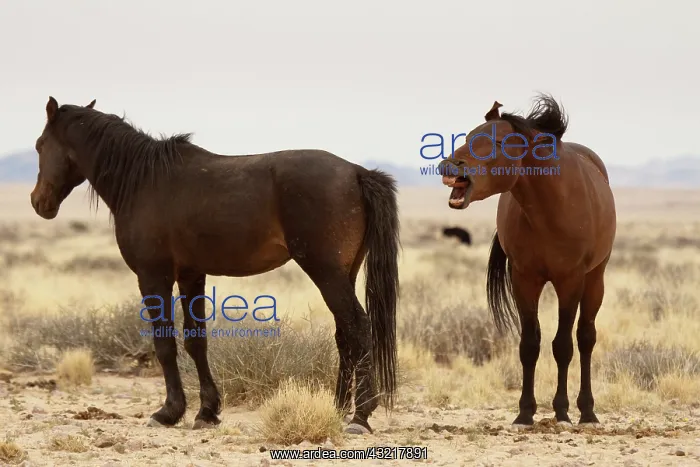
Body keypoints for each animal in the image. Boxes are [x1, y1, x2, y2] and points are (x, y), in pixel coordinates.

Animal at [30, 96, 400, 435]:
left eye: (39, 145)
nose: (39, 202)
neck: (143, 181)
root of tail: (356, 171)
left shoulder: (153, 276)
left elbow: (165, 344)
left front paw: (169, 412)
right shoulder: (191, 275)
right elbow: (196, 341)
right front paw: (206, 411)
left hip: (326, 273)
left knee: (358, 329)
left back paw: (360, 416)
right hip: (343, 273)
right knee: (345, 334)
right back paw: (336, 408)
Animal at [438, 94, 616, 428]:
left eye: (496, 141)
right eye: (467, 138)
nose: (448, 164)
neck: (550, 208)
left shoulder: (570, 280)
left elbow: (563, 346)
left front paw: (561, 410)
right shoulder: (524, 279)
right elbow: (529, 345)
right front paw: (525, 412)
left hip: (595, 279)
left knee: (585, 338)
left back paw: (587, 411)